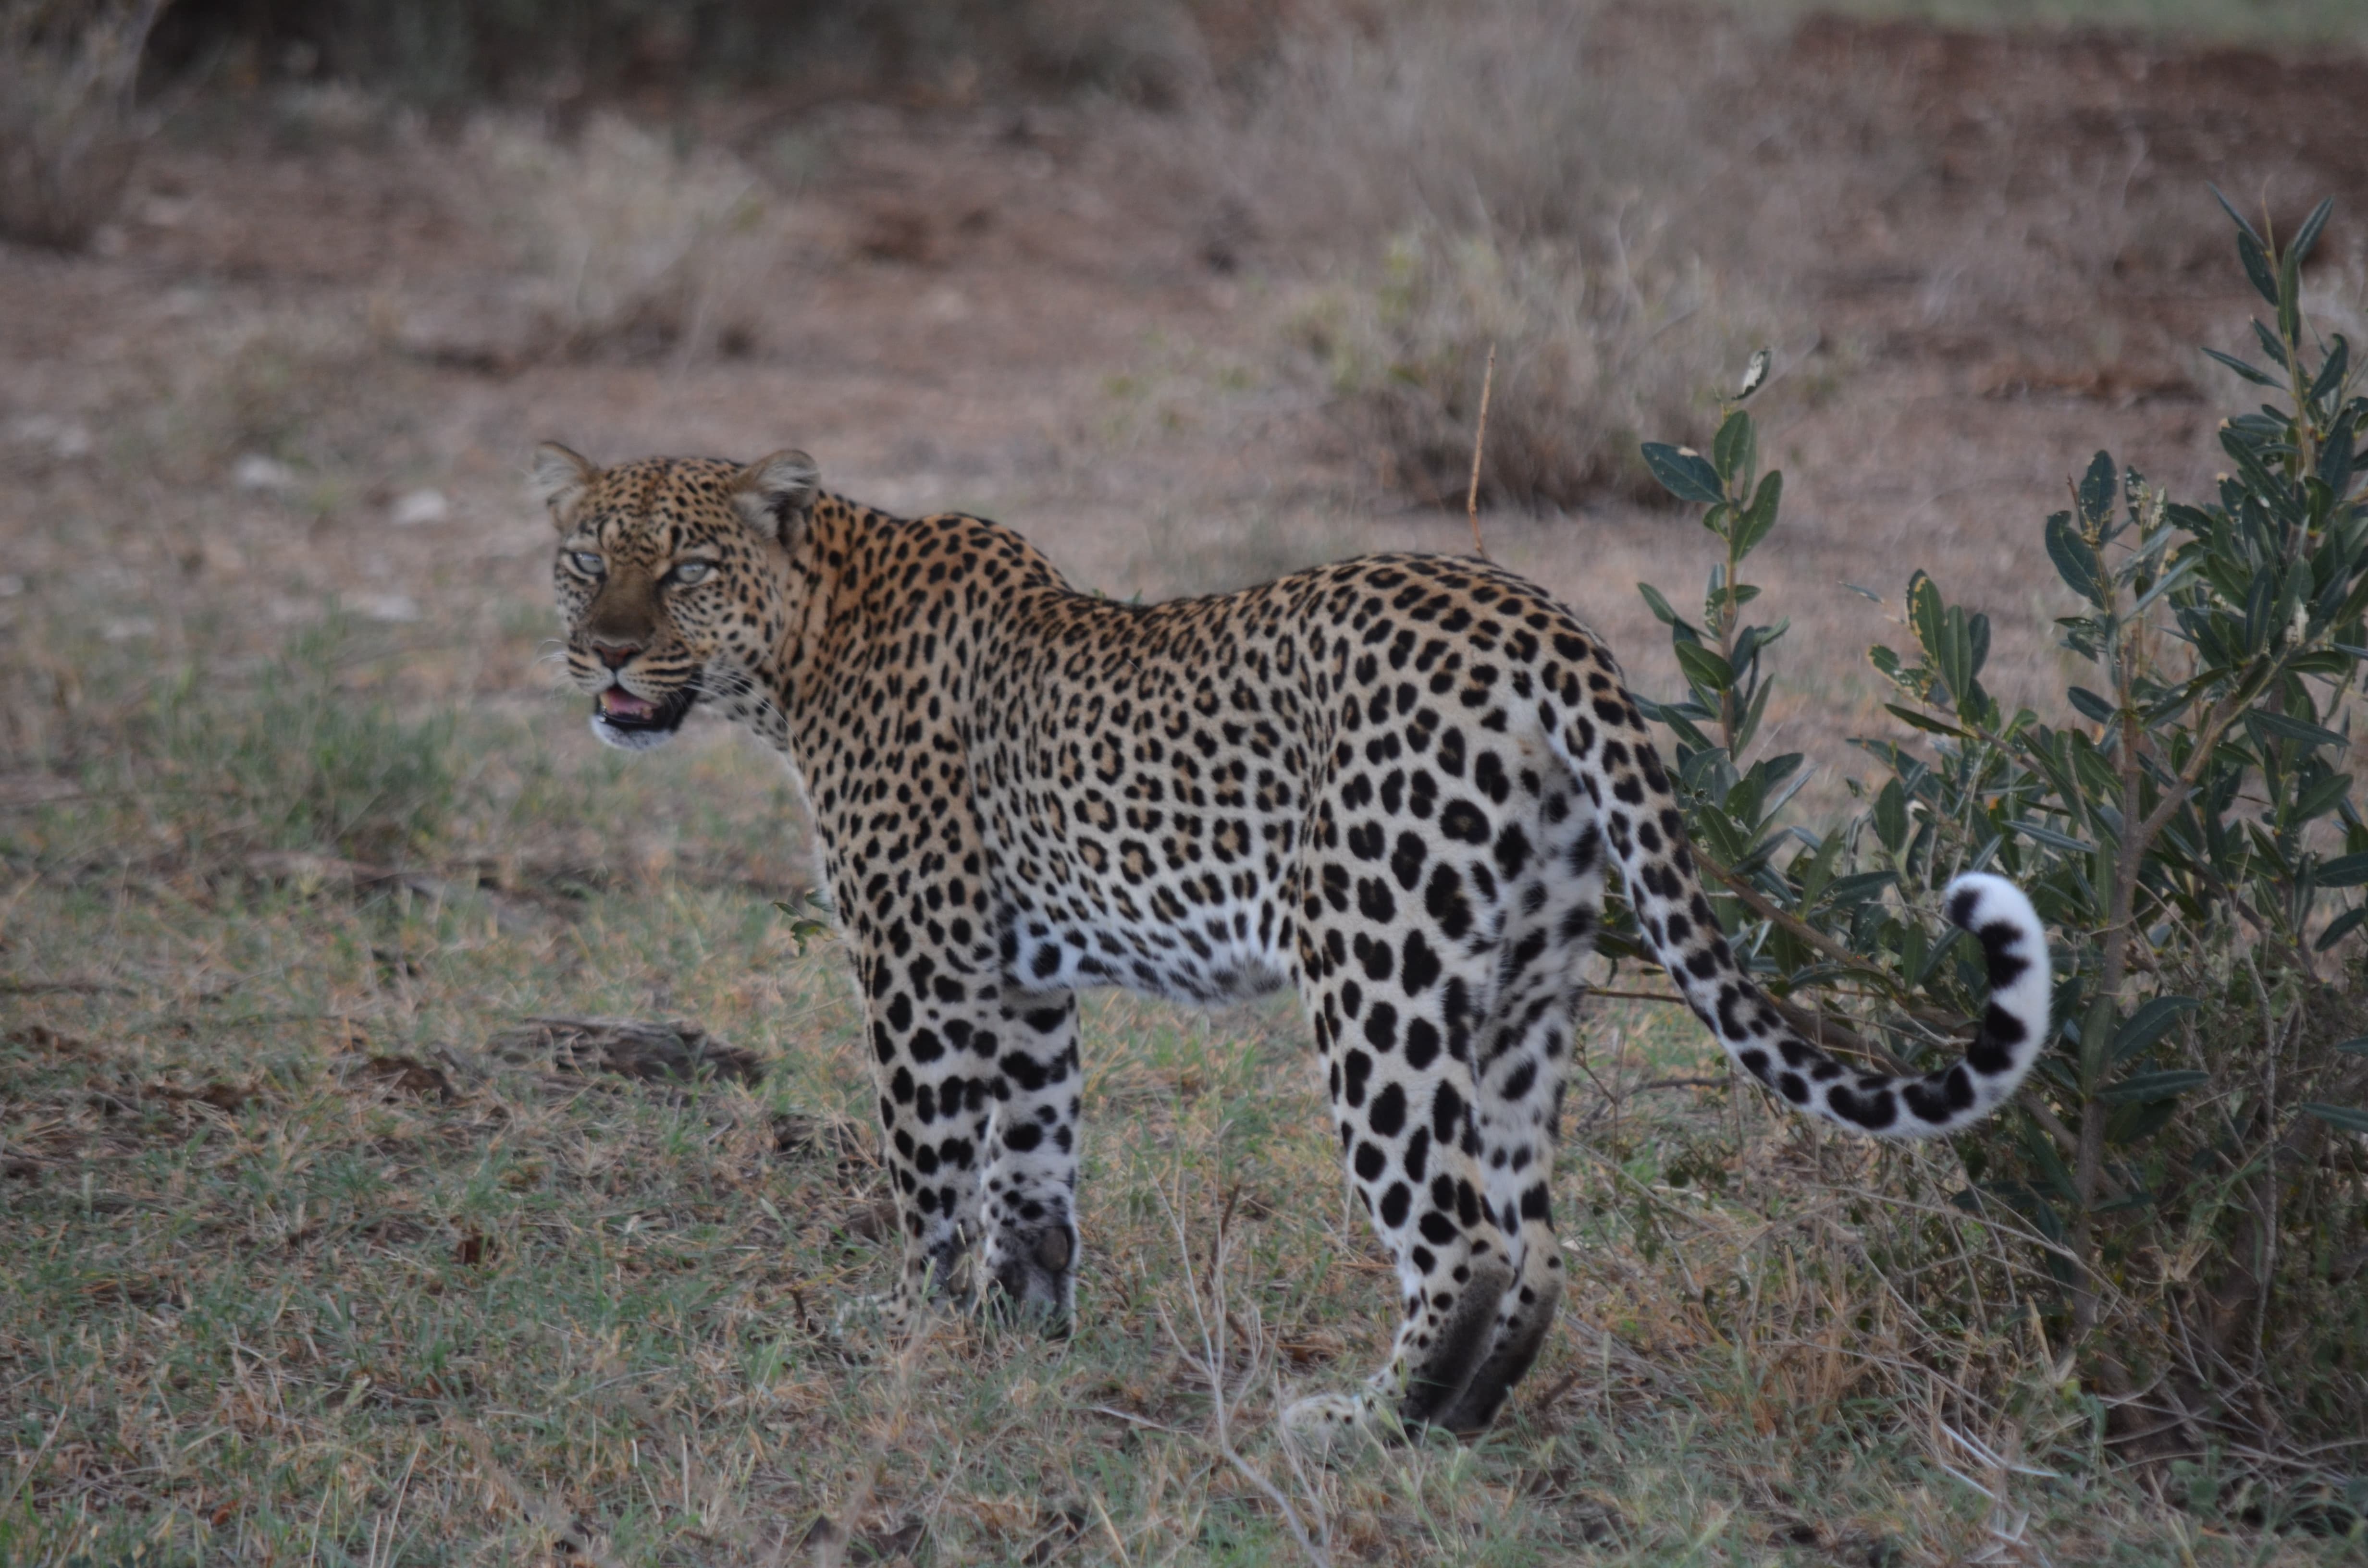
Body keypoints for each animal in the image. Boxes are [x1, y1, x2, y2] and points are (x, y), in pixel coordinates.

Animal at [533, 441, 2052, 1440]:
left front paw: (910, 1327)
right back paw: (1460, 1422)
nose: (601, 654)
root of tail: (1545, 623)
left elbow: (930, 1168)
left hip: (1374, 969)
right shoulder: (1022, 979)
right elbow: (1034, 1161)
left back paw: (1362, 1428)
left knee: (1459, 1234)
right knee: (1536, 1233)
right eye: (583, 562)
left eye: (684, 570)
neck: (803, 649)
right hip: (1527, 984)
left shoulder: (921, 963)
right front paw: (1025, 1331)